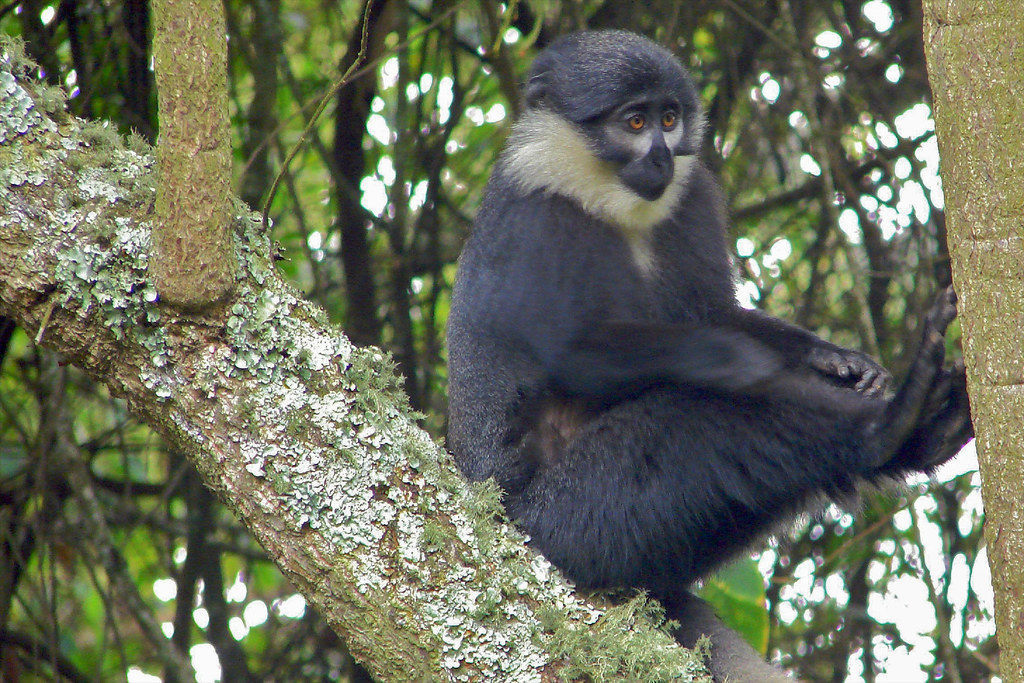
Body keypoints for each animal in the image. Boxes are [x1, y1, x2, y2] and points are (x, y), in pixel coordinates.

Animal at [446, 29, 966, 679]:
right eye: (635, 121)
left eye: (669, 119)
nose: (662, 159)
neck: (603, 196)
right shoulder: (538, 218)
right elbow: (577, 353)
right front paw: (736, 358)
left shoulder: (690, 200)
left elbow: (715, 308)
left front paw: (834, 360)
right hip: (564, 522)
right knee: (702, 427)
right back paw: (890, 427)